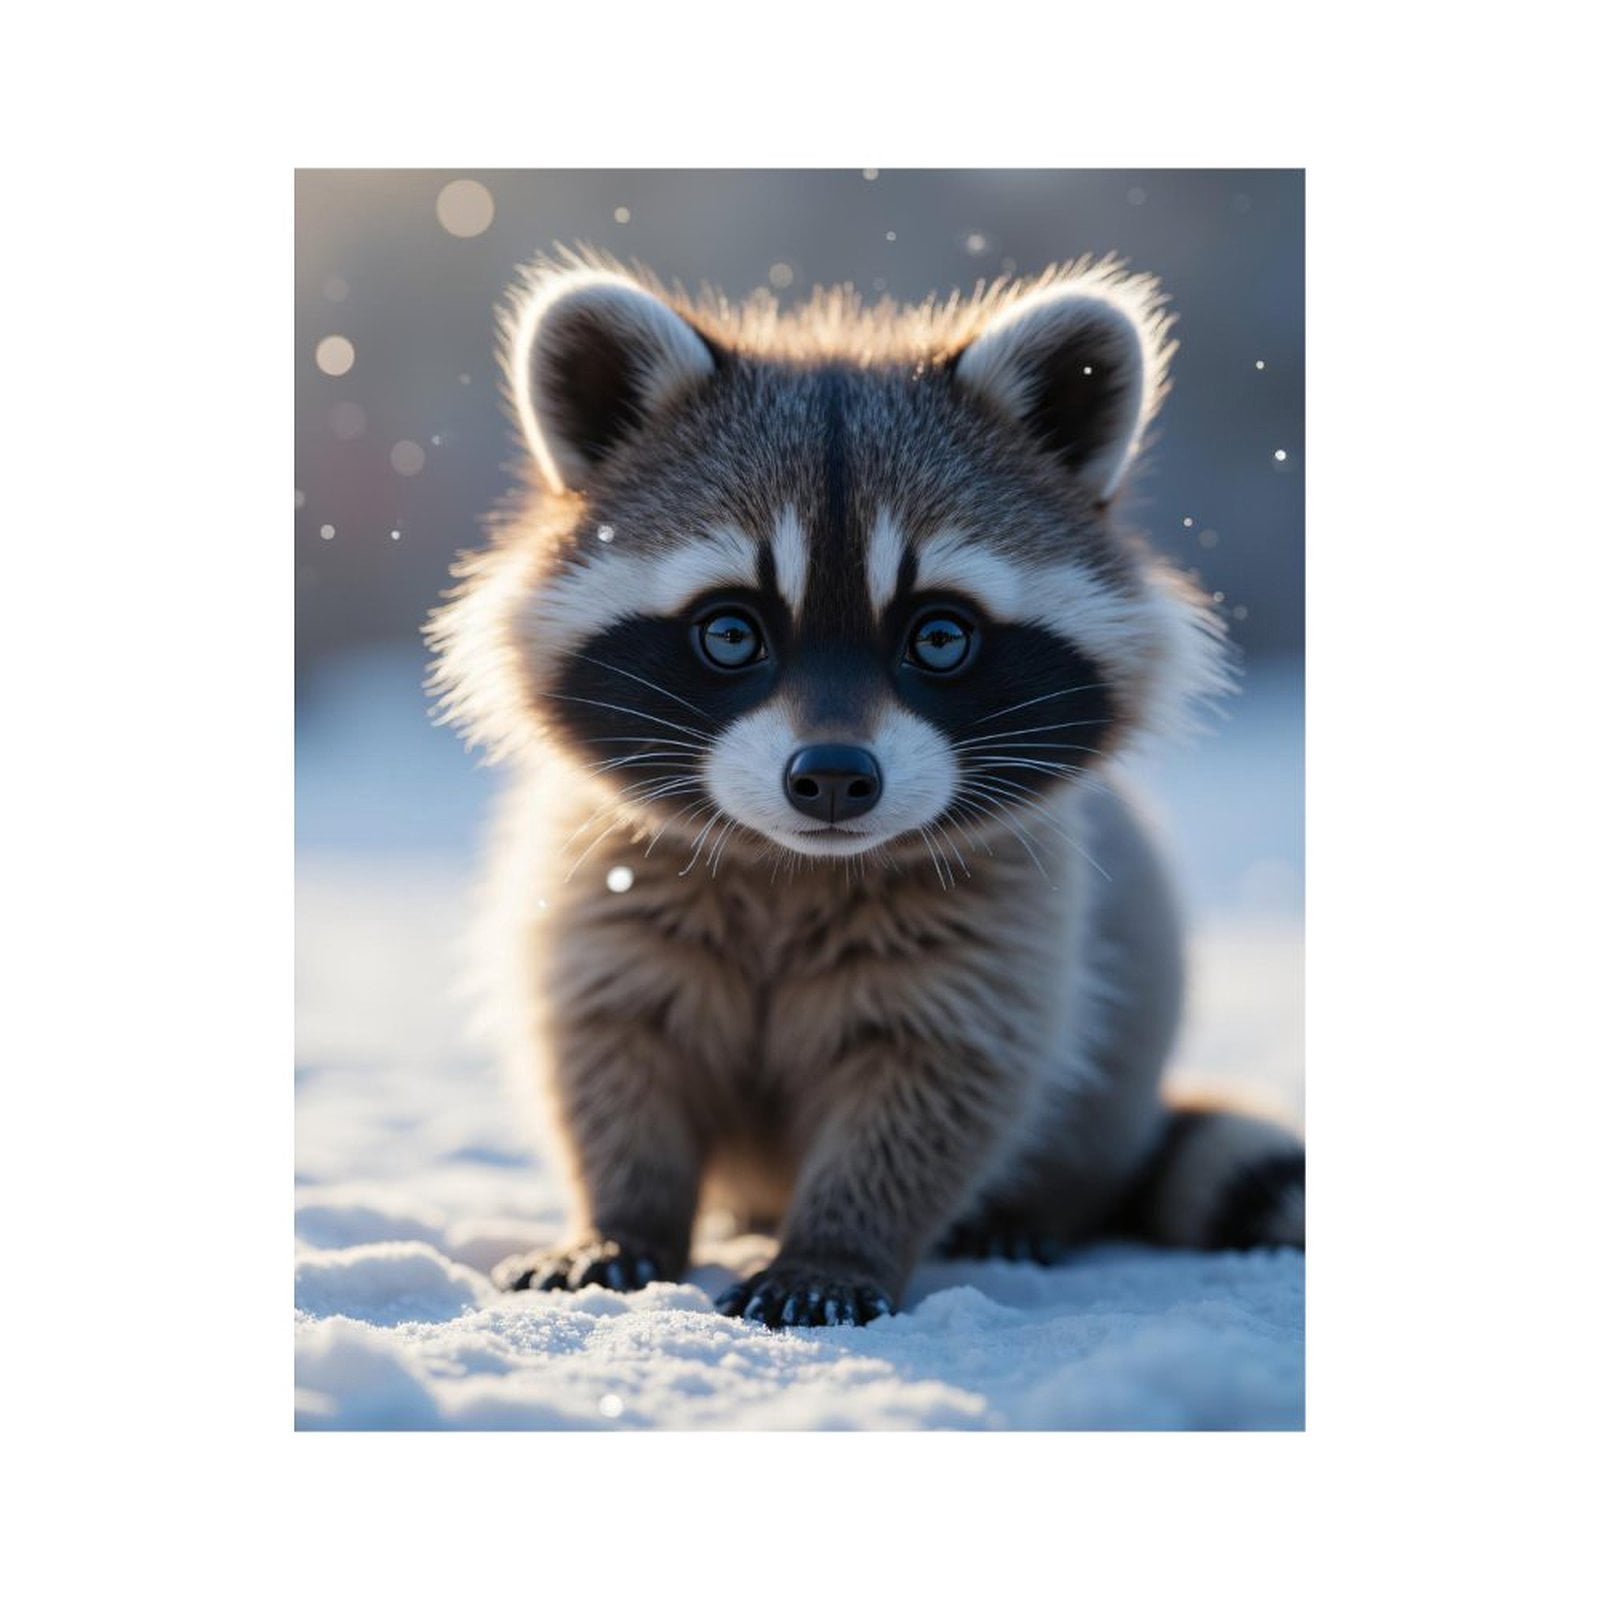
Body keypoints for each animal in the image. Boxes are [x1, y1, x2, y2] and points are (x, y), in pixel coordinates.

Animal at [427, 249, 1304, 1328]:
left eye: (940, 635)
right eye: (730, 632)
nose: (835, 779)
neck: (787, 863)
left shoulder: (1005, 917)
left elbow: (936, 1083)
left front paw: (838, 1243)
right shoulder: (600, 881)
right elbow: (608, 1049)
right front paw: (623, 1213)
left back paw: (1028, 1211)